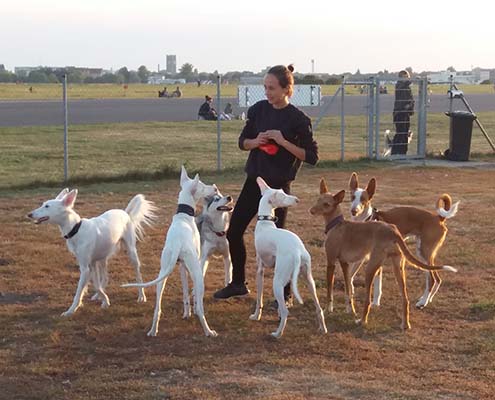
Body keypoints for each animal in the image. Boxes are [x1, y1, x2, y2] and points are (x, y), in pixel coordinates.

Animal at [26, 188, 157, 316]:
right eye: (43, 204)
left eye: (47, 206)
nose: (29, 214)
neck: (76, 229)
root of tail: (125, 213)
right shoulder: (89, 264)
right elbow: (96, 284)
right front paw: (104, 300)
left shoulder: (86, 267)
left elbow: (83, 289)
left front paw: (71, 310)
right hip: (102, 257)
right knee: (105, 277)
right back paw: (98, 296)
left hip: (131, 252)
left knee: (138, 275)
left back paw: (141, 296)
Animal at [121, 166, 217, 338]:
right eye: (202, 186)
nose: (215, 187)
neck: (183, 216)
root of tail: (178, 242)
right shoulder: (192, 265)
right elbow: (192, 294)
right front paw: (191, 312)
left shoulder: (181, 266)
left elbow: (185, 291)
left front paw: (186, 313)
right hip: (198, 274)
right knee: (200, 308)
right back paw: (208, 331)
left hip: (162, 274)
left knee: (157, 308)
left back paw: (153, 330)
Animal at [250, 177, 328, 338]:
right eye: (283, 195)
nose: (297, 199)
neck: (265, 223)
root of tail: (297, 251)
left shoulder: (260, 270)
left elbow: (259, 299)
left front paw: (256, 316)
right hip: (309, 279)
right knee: (319, 308)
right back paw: (323, 329)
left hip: (277, 282)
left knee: (286, 312)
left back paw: (277, 334)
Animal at [310, 178, 458, 332]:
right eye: (317, 200)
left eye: (326, 204)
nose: (311, 211)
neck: (337, 223)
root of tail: (439, 217)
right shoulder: (345, 263)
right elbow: (348, 286)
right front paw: (349, 308)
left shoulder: (332, 262)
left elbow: (330, 290)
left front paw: (329, 309)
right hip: (399, 266)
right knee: (407, 297)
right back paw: (407, 322)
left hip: (384, 263)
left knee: (370, 300)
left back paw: (363, 321)